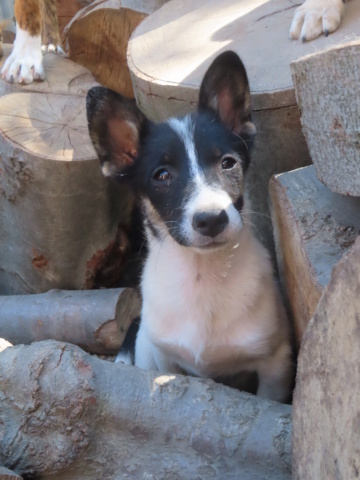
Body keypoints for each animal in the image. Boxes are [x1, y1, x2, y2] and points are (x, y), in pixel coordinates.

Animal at [86, 51, 292, 402]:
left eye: (228, 163)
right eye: (162, 175)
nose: (212, 219)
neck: (202, 275)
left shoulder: (274, 364)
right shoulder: (164, 360)